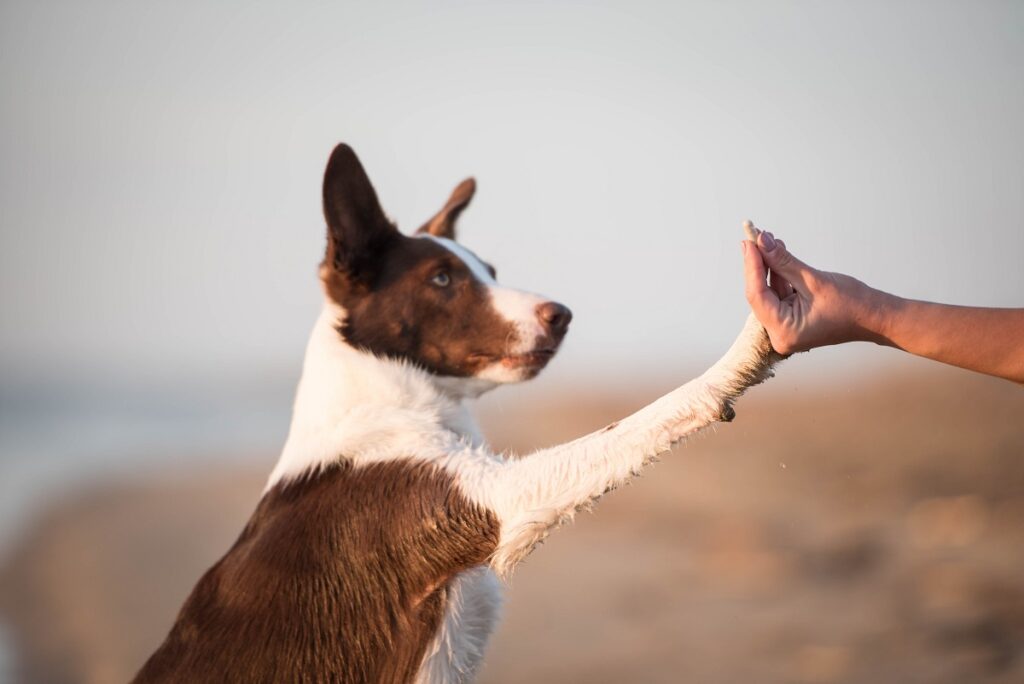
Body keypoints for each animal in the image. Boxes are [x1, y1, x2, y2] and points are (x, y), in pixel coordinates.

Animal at [132, 145, 778, 684]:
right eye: (442, 278)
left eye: (490, 270)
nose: (562, 315)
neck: (395, 400)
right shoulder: (500, 500)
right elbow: (646, 417)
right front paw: (752, 347)